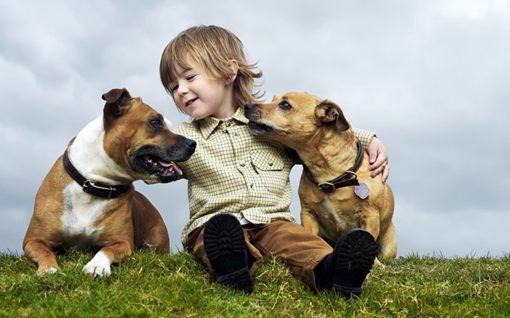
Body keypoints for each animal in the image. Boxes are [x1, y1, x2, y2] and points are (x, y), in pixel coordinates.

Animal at [23, 88, 195, 278]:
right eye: (155, 122)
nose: (193, 143)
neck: (94, 184)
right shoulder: (33, 240)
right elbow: (44, 251)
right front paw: (49, 269)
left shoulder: (122, 242)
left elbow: (106, 250)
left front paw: (96, 266)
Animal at [245, 92, 396, 264]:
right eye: (273, 100)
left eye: (285, 105)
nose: (246, 106)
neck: (329, 173)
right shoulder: (308, 213)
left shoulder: (370, 215)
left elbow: (368, 238)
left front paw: (374, 263)